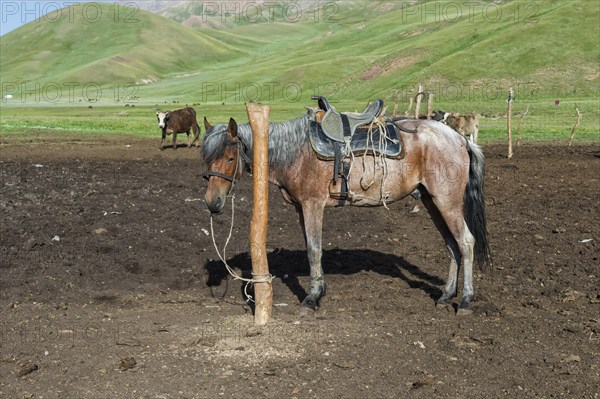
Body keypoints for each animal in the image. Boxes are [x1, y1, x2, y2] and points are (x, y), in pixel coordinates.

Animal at [199, 110, 490, 316]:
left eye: (230, 158)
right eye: (207, 158)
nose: (212, 202)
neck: (296, 152)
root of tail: (459, 139)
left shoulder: (313, 205)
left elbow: (314, 250)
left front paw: (312, 298)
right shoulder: (301, 208)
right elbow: (311, 248)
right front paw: (319, 291)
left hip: (446, 201)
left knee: (466, 242)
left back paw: (465, 301)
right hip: (432, 201)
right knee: (452, 245)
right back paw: (445, 296)